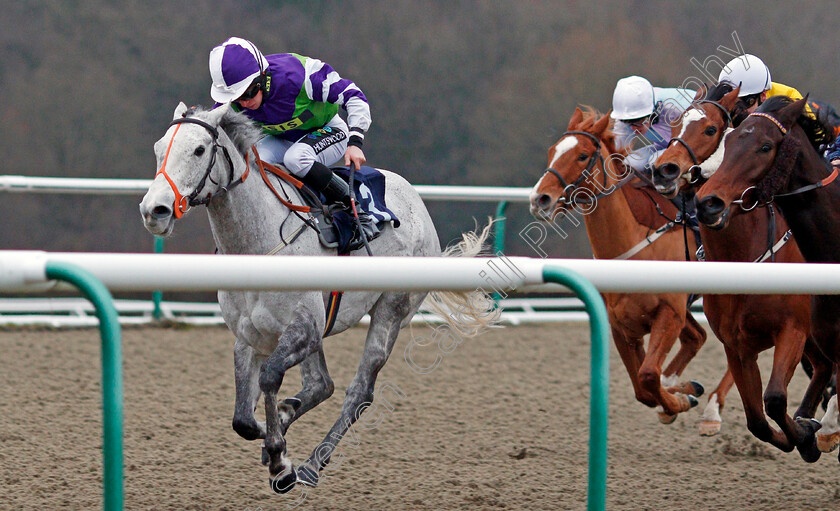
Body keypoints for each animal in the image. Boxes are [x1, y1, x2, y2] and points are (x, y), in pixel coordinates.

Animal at [140, 103, 496, 492]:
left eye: (199, 149)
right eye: (158, 148)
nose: (154, 210)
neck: (256, 247)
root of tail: (417, 204)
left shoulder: (304, 328)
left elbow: (270, 378)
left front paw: (280, 458)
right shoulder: (251, 337)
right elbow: (242, 419)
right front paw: (274, 431)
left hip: (391, 311)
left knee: (359, 391)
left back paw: (312, 463)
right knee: (321, 383)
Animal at [532, 110, 708, 426]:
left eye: (582, 155)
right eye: (552, 152)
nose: (539, 199)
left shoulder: (670, 314)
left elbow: (648, 375)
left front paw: (679, 401)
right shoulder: (623, 326)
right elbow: (642, 389)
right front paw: (680, 395)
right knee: (697, 337)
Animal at [652, 84, 832, 448]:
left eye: (710, 129)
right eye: (676, 124)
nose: (664, 169)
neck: (742, 257)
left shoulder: (792, 330)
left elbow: (774, 398)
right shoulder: (737, 344)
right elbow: (758, 420)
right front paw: (802, 434)